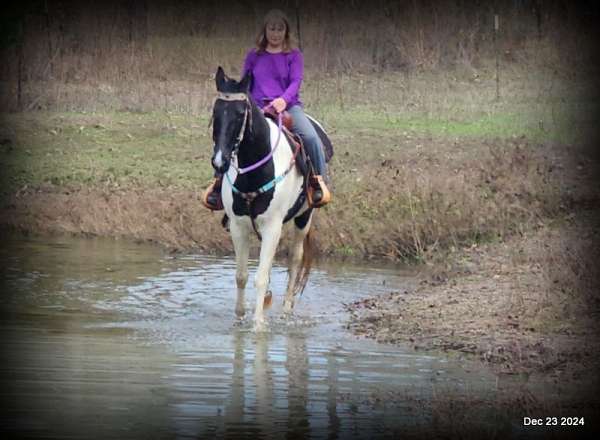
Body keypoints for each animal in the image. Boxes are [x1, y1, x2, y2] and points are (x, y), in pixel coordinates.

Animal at [211, 67, 314, 332]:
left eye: (240, 114)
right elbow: (241, 276)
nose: (219, 161)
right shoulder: (238, 226)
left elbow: (261, 277)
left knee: (295, 260)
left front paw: (258, 324)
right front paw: (239, 317)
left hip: (305, 217)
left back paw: (286, 311)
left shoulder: (272, 228)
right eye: (215, 112)